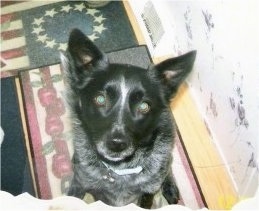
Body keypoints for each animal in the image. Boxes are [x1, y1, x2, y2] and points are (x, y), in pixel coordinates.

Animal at [61, 28, 197, 209]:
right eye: (100, 99)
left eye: (144, 106)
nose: (117, 144)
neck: (118, 170)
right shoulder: (82, 183)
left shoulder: (148, 192)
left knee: (169, 164)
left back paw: (170, 186)